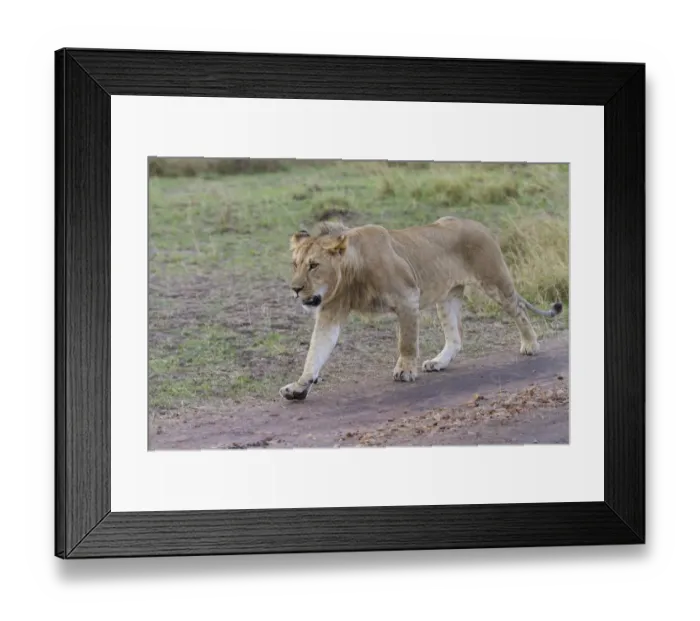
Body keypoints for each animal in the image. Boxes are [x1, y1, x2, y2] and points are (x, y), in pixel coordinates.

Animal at [279, 216, 563, 401]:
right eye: (295, 264)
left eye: (314, 265)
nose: (295, 289)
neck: (350, 275)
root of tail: (477, 223)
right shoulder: (330, 312)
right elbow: (315, 353)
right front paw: (299, 387)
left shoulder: (408, 297)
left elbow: (406, 342)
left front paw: (404, 370)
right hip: (447, 297)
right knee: (455, 337)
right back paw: (439, 362)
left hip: (494, 281)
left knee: (519, 310)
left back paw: (530, 345)